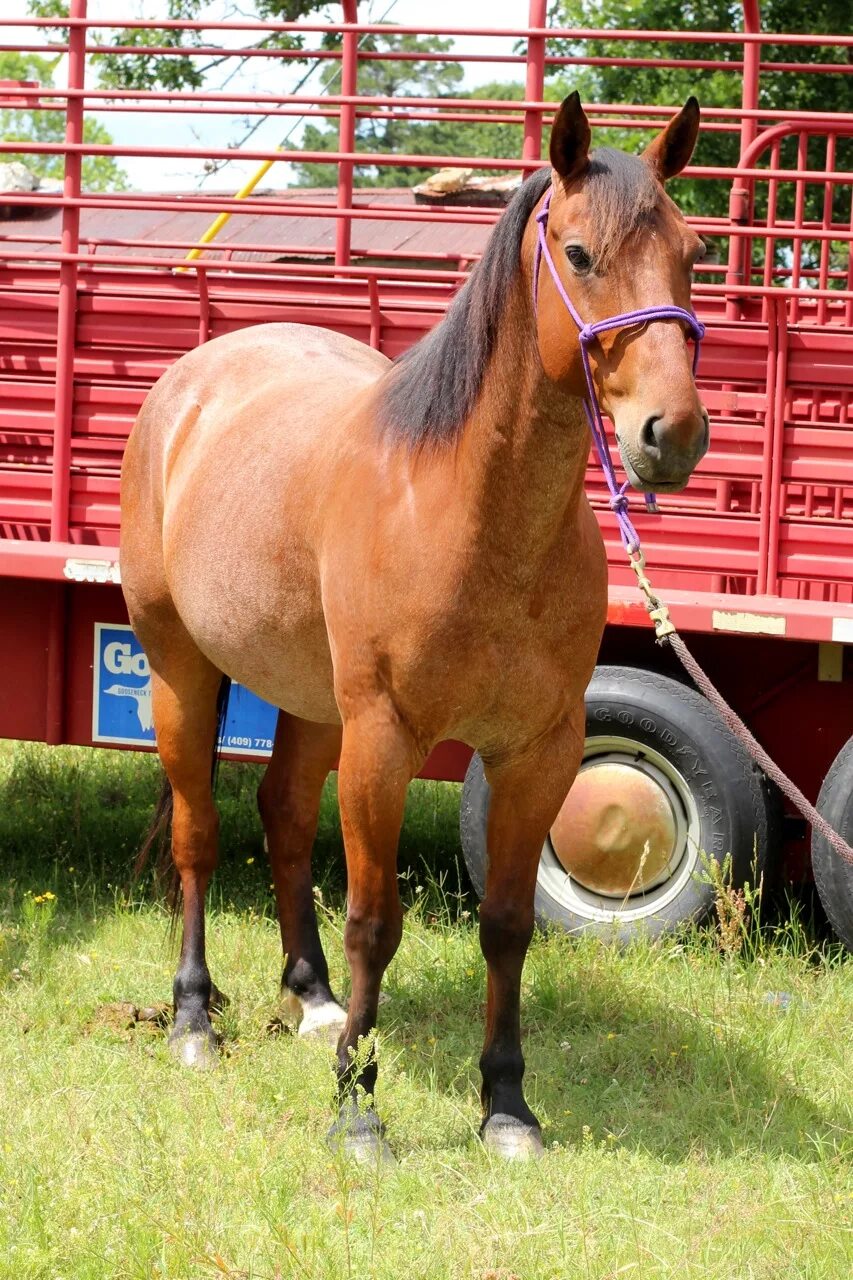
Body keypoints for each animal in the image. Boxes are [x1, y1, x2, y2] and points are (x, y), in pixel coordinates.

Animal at [119, 94, 701, 1167]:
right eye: (579, 252)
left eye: (691, 251)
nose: (671, 434)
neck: (472, 519)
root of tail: (195, 378)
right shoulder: (386, 740)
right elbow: (373, 923)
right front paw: (358, 1108)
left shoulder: (538, 751)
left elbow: (506, 924)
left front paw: (505, 1105)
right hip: (181, 670)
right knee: (198, 835)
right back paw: (192, 1020)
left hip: (315, 705)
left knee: (282, 815)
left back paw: (310, 1002)